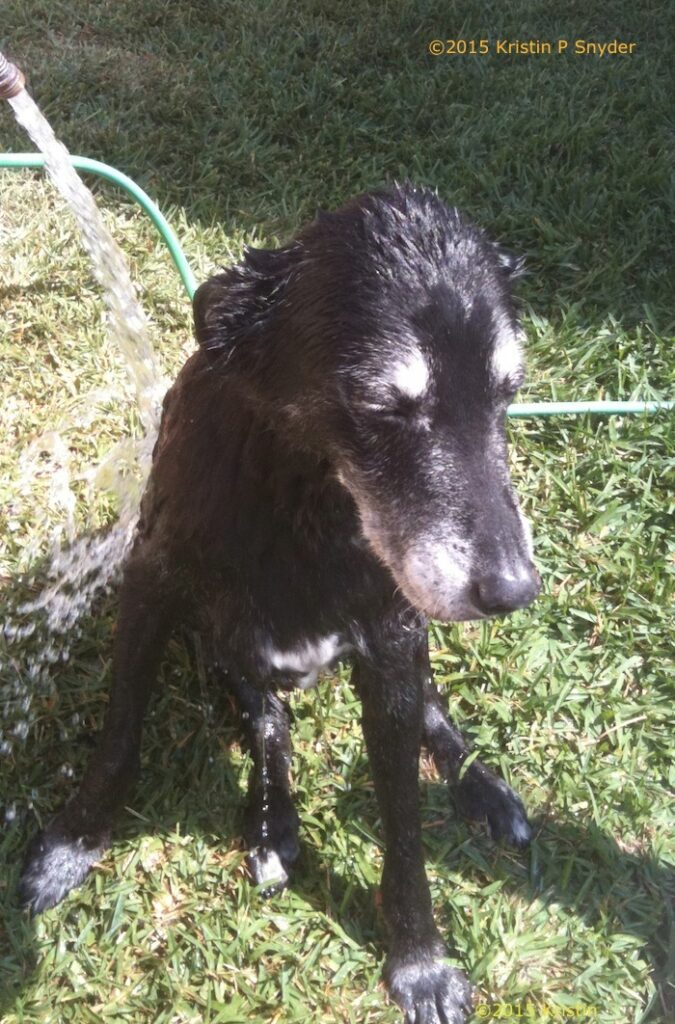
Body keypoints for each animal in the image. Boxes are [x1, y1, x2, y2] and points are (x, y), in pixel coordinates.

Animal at [18, 186, 540, 1024]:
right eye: (380, 404)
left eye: (508, 395)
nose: (513, 589)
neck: (303, 502)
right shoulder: (150, 581)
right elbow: (118, 738)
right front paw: (72, 845)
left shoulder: (390, 642)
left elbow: (403, 823)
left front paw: (419, 961)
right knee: (268, 720)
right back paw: (272, 822)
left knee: (428, 706)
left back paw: (479, 788)